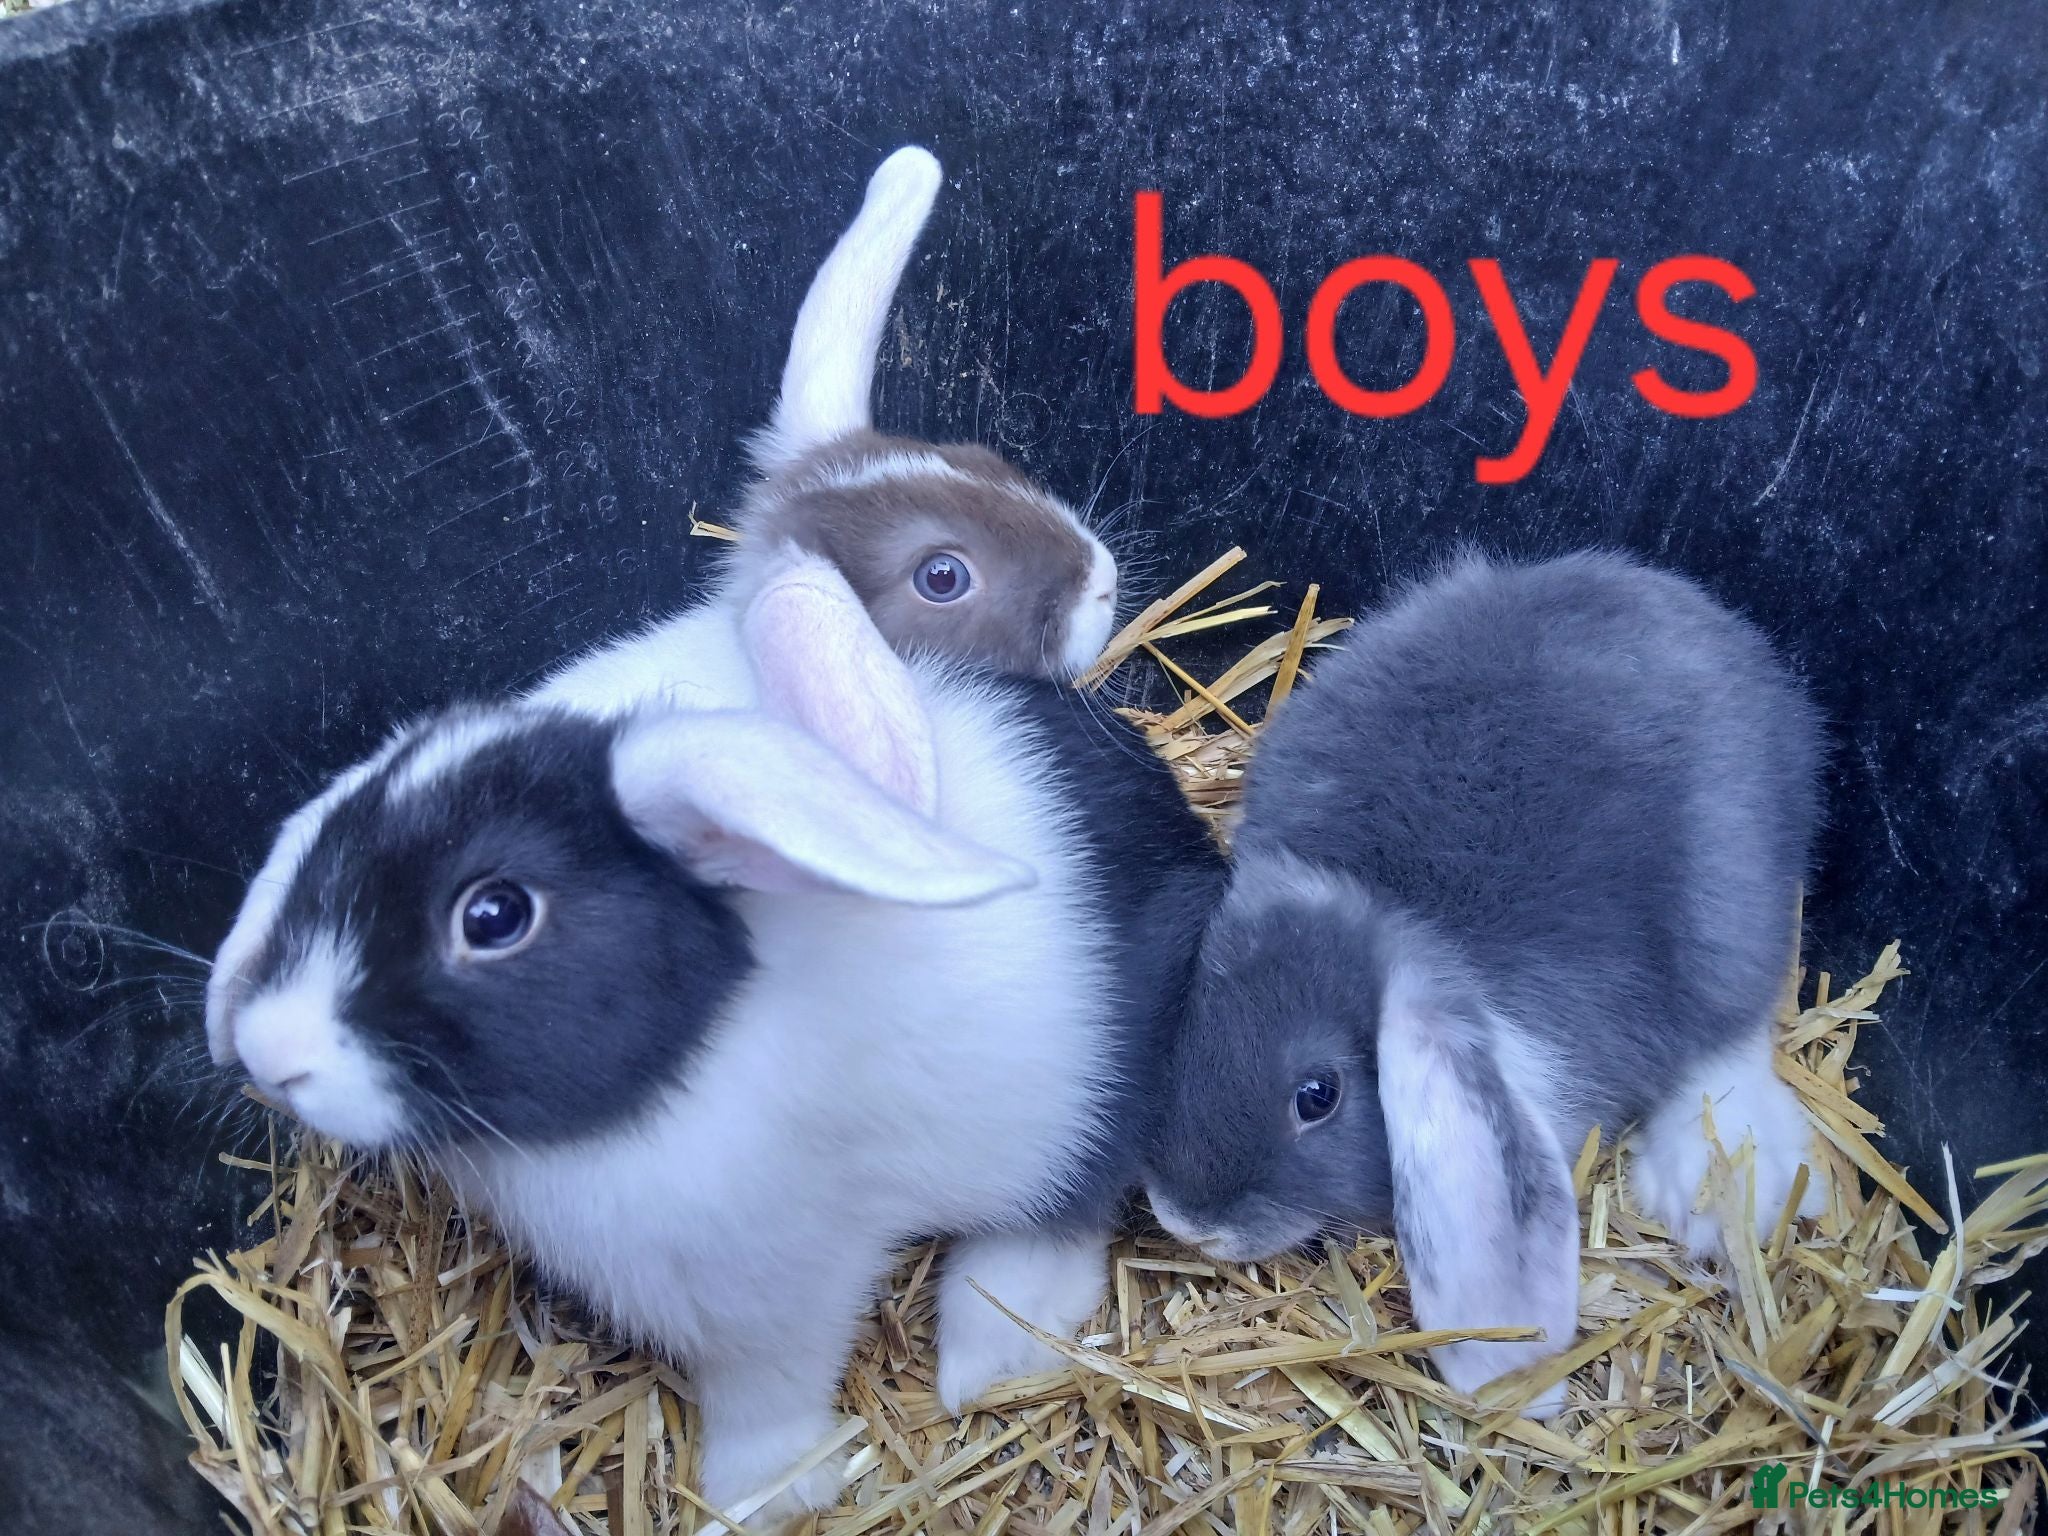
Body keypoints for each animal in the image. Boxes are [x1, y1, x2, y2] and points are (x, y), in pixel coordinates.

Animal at [203, 545, 1225, 1525]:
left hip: (1104, 1083)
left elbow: (767, 1395)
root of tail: (1187, 834)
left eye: (494, 916)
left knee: (1071, 1206)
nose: (271, 1055)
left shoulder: (779, 1292)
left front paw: (761, 1497)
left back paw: (988, 1349)